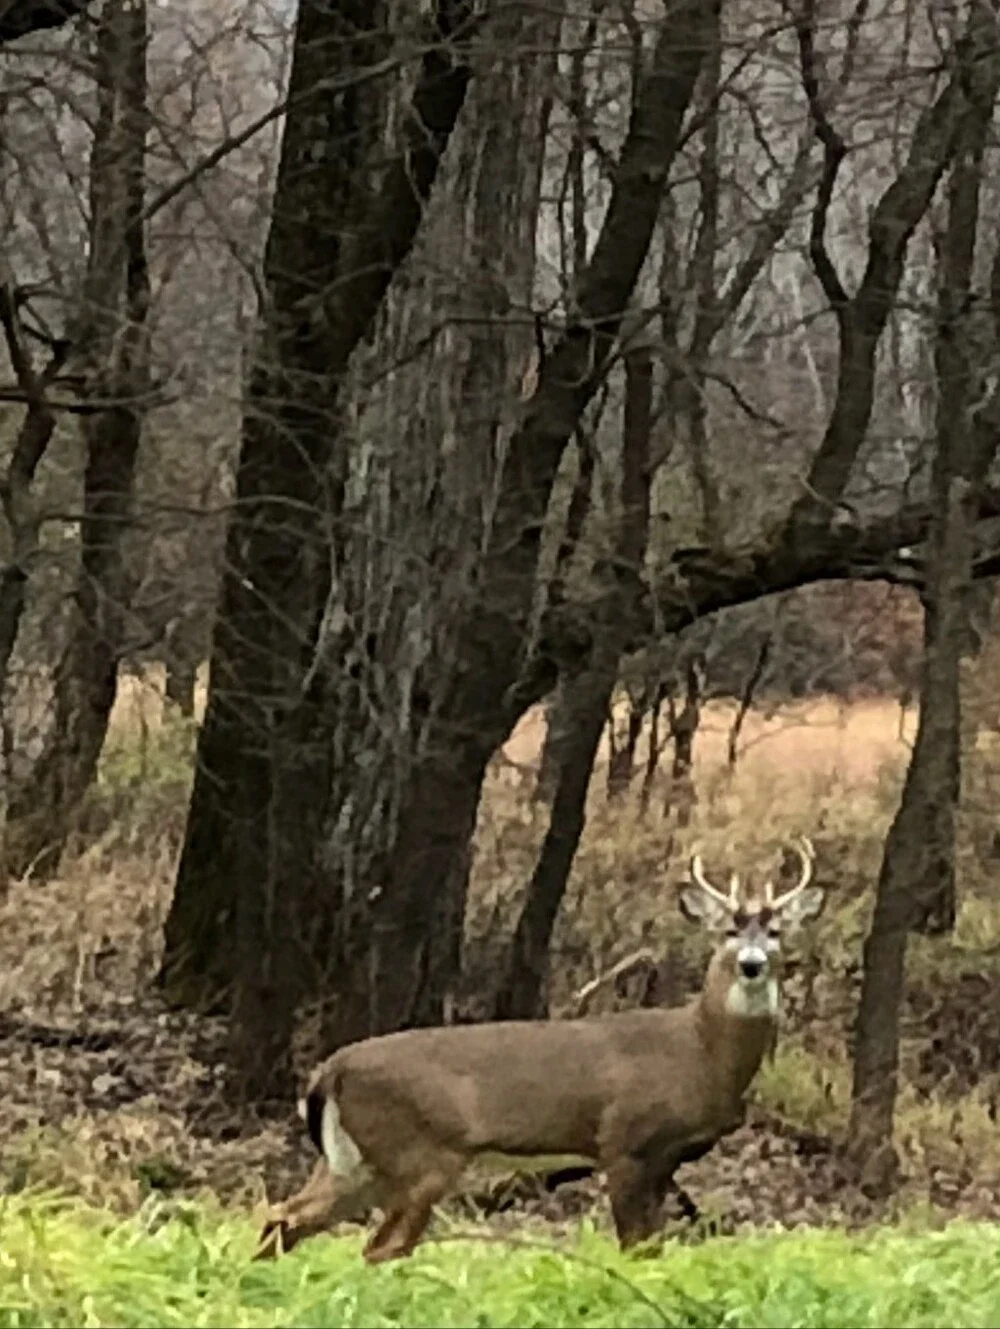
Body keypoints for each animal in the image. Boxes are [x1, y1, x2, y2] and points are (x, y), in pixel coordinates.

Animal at [255, 838, 824, 1265]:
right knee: (380, 1245)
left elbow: (653, 1247)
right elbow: (634, 1247)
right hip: (419, 1153)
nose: (752, 963)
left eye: (776, 931)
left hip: (353, 1162)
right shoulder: (621, 1140)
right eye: (728, 930)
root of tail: (329, 1070)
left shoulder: (668, 1157)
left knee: (285, 1218)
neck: (700, 1051)